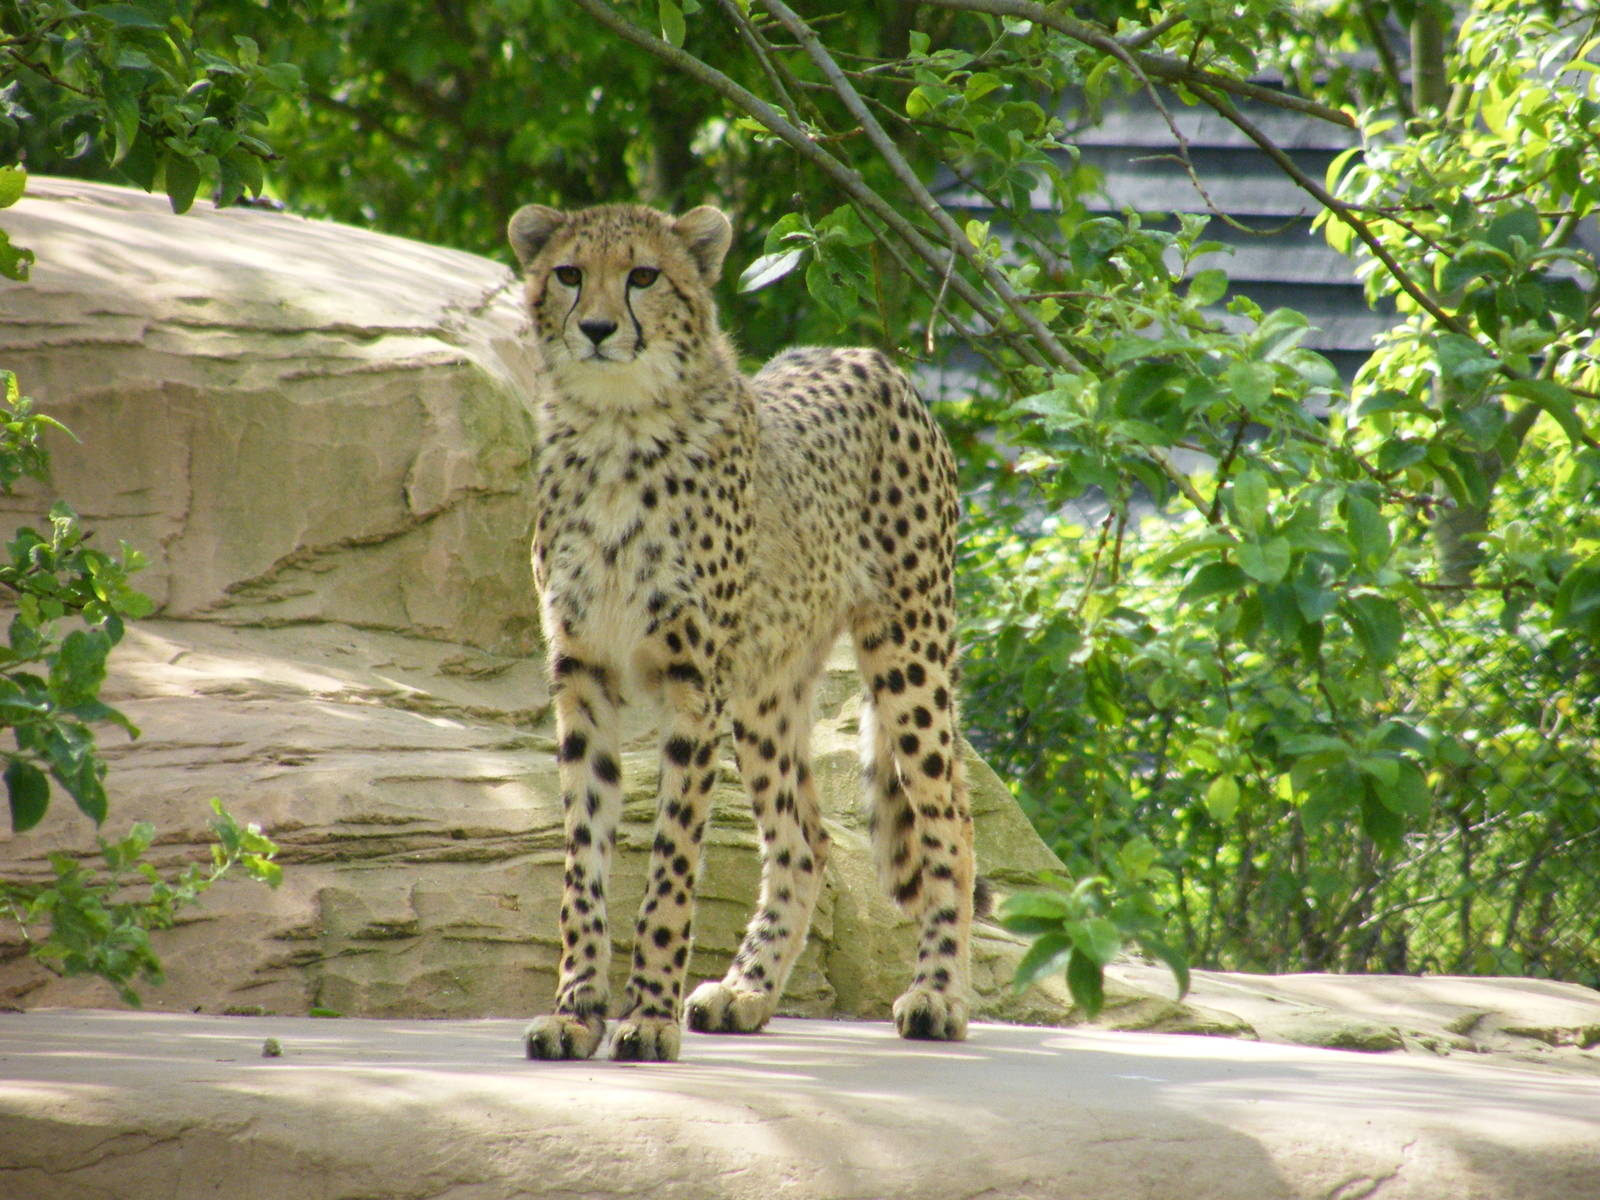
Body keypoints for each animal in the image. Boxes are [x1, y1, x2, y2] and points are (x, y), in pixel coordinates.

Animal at [509, 201, 974, 1062]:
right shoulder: (582, 675)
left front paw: (647, 1016)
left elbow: (671, 865)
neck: (614, 427)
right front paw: (577, 1010)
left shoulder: (694, 685)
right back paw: (748, 989)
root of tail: (868, 353)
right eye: (568, 273)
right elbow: (583, 861)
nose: (595, 327)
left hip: (908, 647)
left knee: (946, 819)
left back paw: (937, 994)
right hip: (765, 689)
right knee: (804, 837)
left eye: (644, 275)